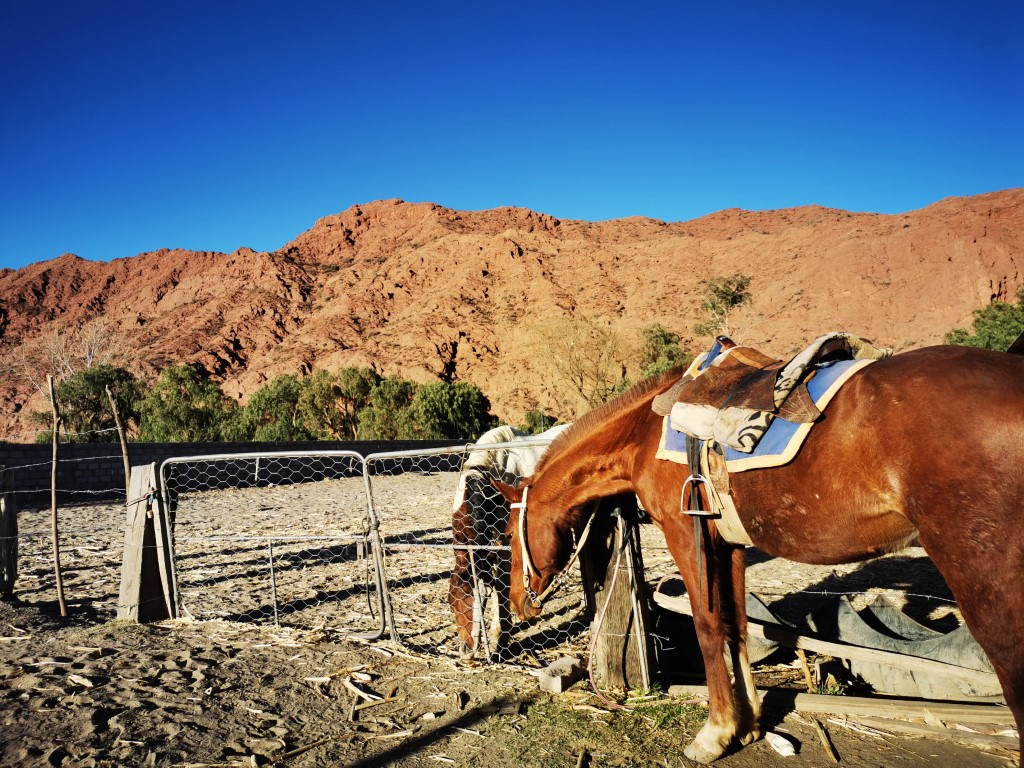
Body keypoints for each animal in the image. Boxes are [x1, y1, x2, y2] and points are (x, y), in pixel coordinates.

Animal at [448, 423, 569, 657]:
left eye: (479, 597)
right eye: (451, 601)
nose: (466, 651)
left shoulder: (507, 544)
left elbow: (501, 585)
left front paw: (499, 637)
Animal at [497, 344, 1024, 763]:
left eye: (506, 533)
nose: (521, 603)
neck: (644, 432)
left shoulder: (685, 536)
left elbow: (709, 629)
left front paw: (715, 734)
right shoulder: (727, 544)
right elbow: (736, 629)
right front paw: (747, 724)